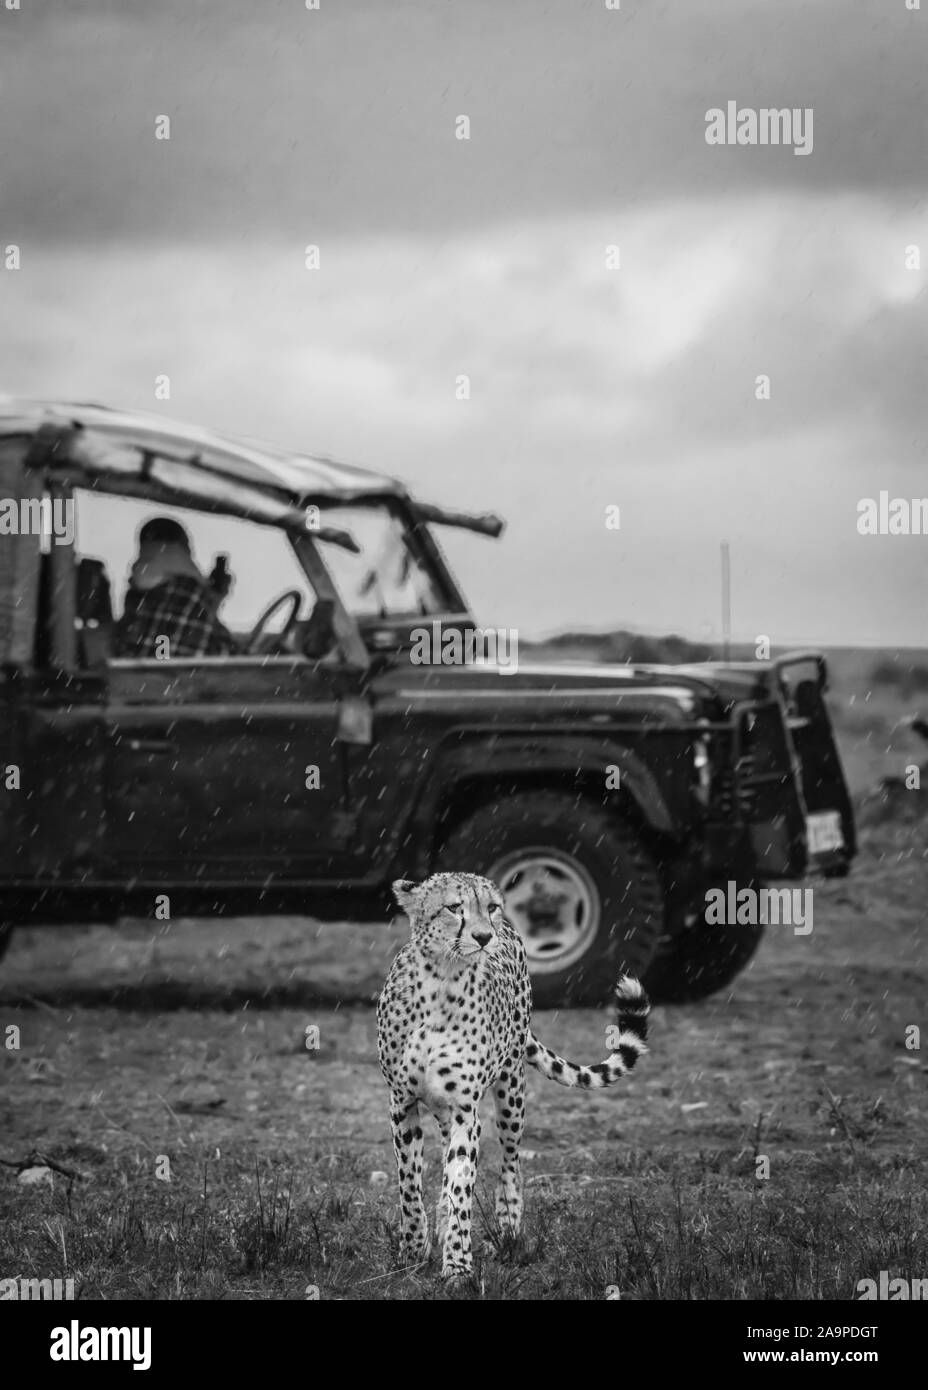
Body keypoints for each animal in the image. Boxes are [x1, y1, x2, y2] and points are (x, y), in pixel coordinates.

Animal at [377, 872, 652, 1273]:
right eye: (454, 907)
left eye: (490, 906)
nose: (483, 936)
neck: (441, 980)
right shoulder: (402, 1102)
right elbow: (409, 1184)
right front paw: (414, 1251)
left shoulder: (465, 1110)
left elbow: (461, 1186)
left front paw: (458, 1266)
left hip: (511, 1090)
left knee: (510, 1161)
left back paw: (507, 1228)